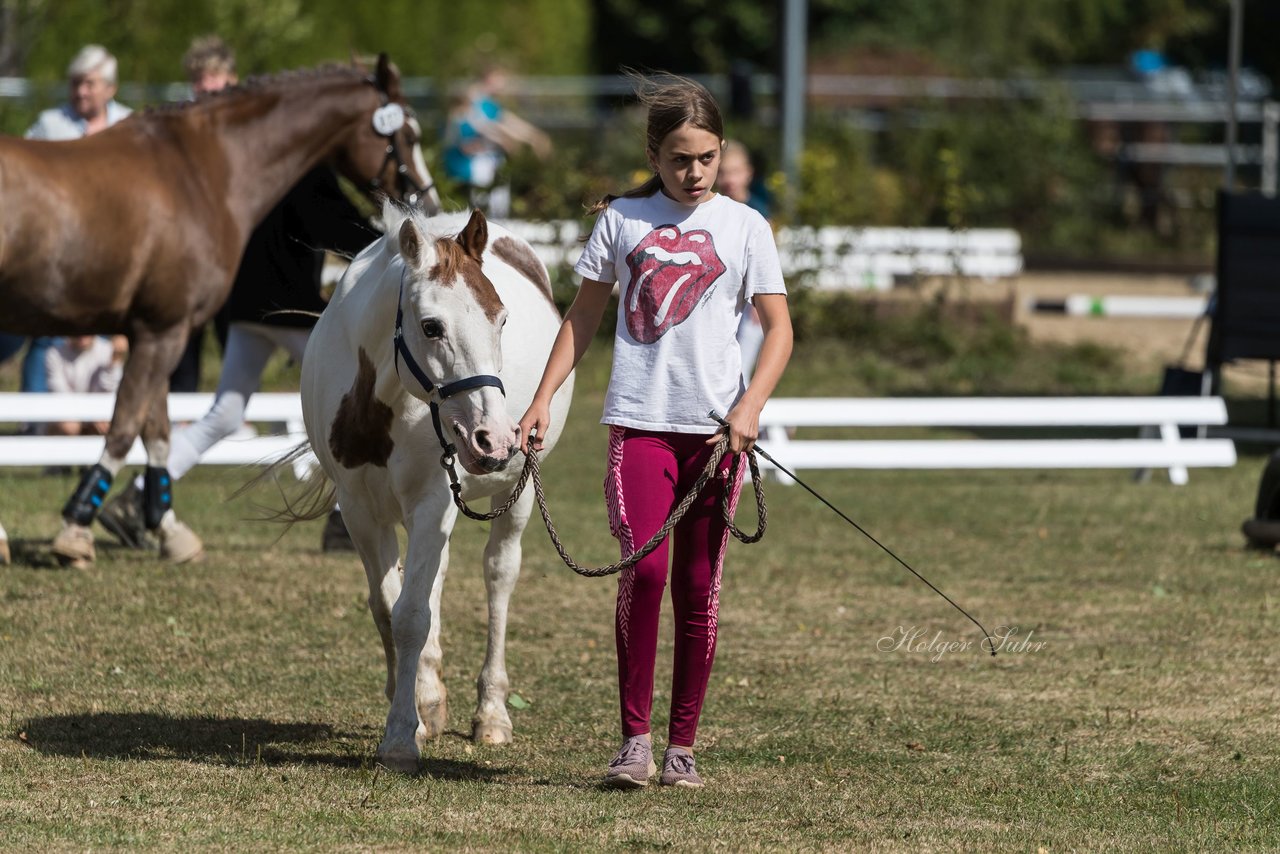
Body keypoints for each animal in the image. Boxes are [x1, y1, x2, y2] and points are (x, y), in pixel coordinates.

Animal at [0, 51, 437, 560]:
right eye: (409, 136)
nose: (427, 204)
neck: (200, 172)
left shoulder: (156, 332)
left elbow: (156, 430)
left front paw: (165, 527)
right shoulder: (162, 332)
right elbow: (127, 425)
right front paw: (77, 525)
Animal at [299, 208, 570, 773]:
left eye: (501, 320)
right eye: (432, 326)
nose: (494, 438)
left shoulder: (433, 501)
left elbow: (411, 616)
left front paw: (401, 737)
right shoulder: (359, 511)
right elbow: (390, 607)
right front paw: (415, 708)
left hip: (516, 493)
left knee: (499, 576)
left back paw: (491, 713)